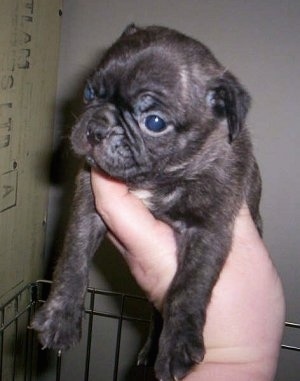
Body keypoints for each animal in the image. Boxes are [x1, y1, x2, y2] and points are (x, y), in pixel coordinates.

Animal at [31, 25, 262, 378]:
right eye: (89, 93)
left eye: (154, 122)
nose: (96, 128)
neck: (153, 179)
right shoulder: (88, 204)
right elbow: (73, 260)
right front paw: (60, 317)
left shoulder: (208, 230)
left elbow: (188, 288)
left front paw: (178, 345)